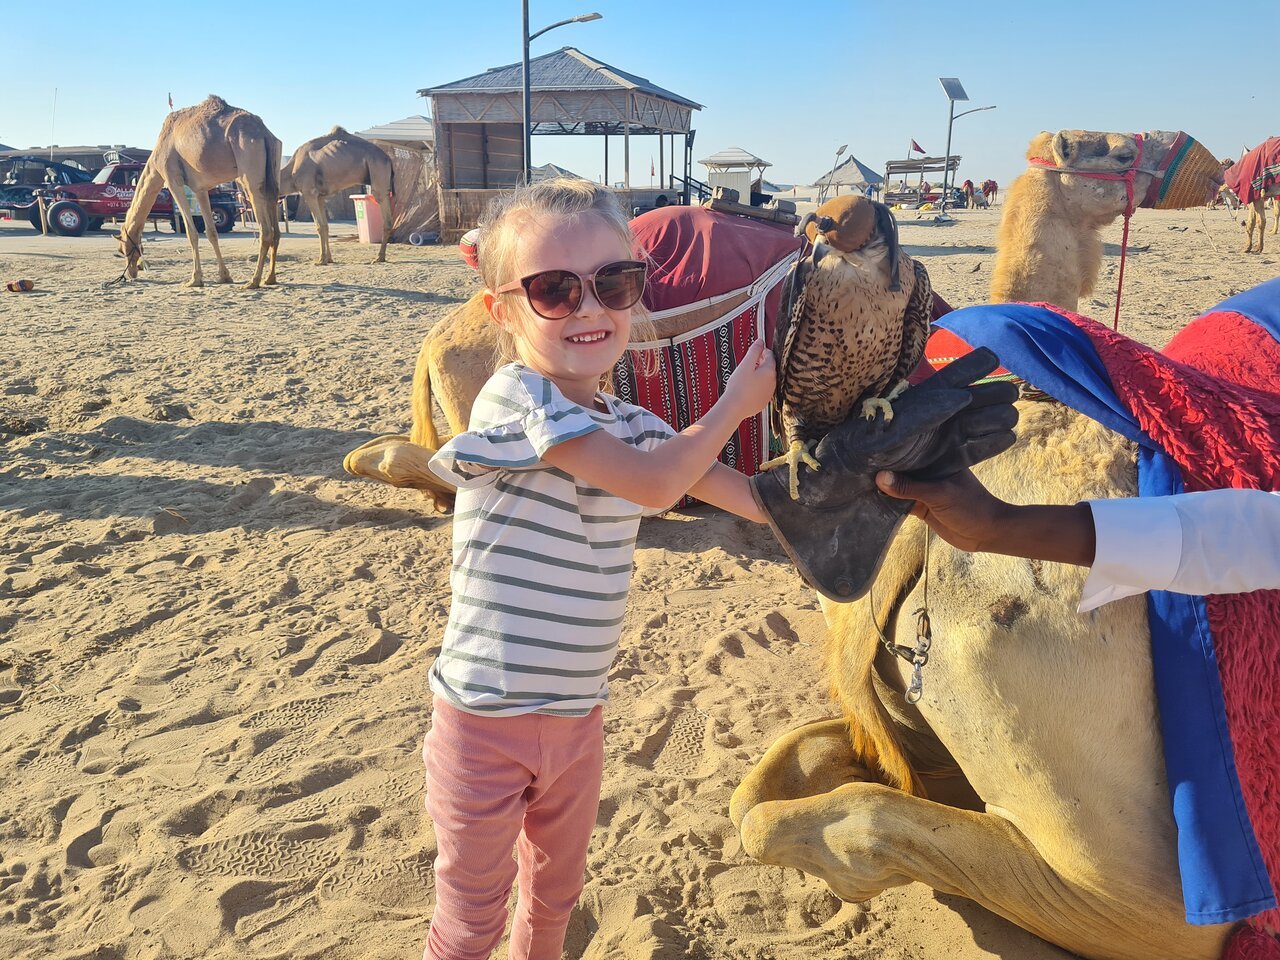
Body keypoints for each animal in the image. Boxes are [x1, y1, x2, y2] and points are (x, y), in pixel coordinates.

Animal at [117, 95, 281, 289]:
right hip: (272, 171)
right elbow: (211, 232)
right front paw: (224, 276)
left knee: (266, 229)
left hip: (249, 171)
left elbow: (191, 232)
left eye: (123, 249)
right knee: (275, 220)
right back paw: (270, 278)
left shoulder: (173, 180)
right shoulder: (200, 189)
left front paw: (194, 279)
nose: (131, 273)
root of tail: (263, 132)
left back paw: (253, 281)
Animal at [281, 127, 394, 265]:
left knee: (386, 216)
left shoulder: (309, 193)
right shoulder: (320, 196)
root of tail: (388, 159)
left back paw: (379, 257)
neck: (292, 171)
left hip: (378, 173)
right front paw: (328, 259)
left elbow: (319, 226)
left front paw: (321, 260)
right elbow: (325, 226)